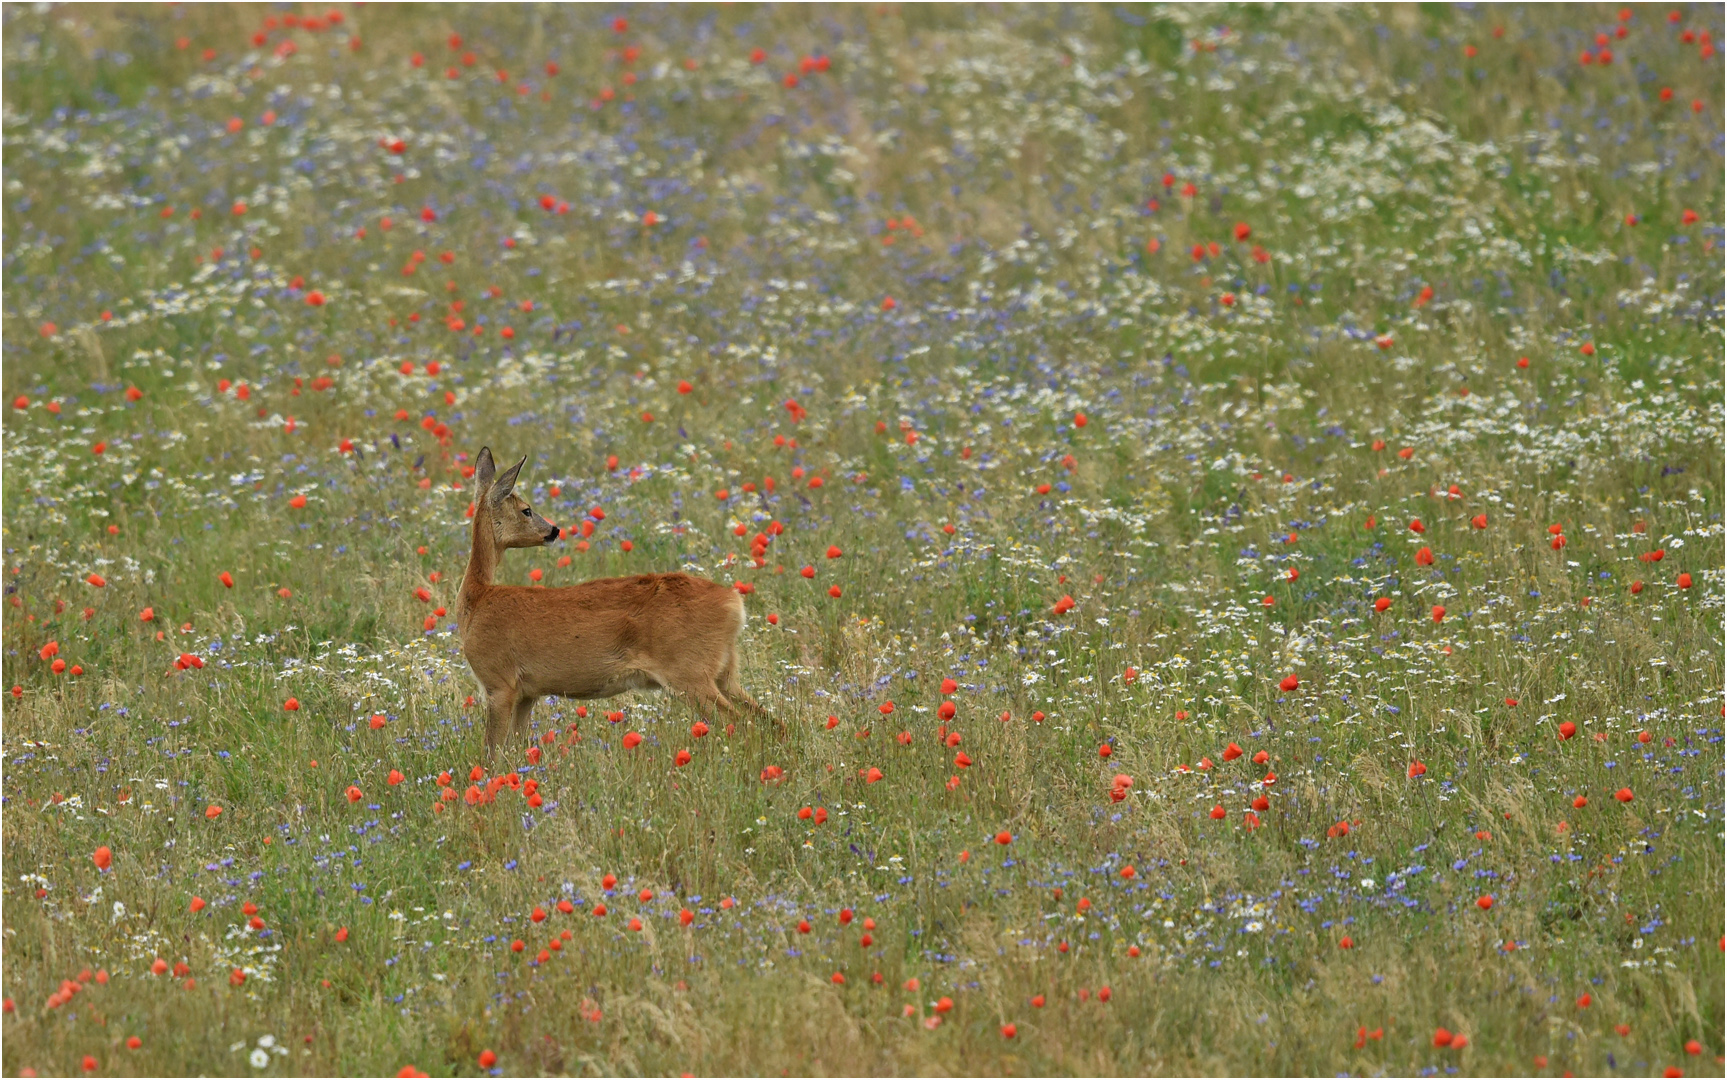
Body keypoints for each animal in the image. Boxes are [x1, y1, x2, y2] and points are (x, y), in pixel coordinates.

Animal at [455, 442, 759, 753]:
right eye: (526, 510)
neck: (477, 601)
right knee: (765, 718)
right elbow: (516, 748)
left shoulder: (499, 681)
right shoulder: (528, 692)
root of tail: (734, 602)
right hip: (723, 671)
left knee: (741, 722)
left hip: (689, 670)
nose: (554, 530)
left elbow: (492, 752)